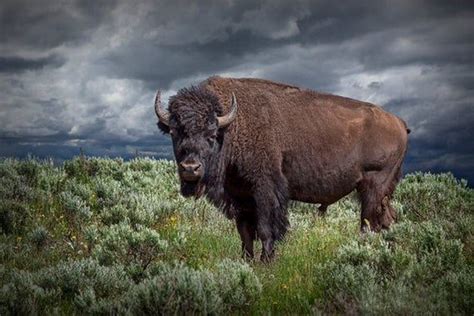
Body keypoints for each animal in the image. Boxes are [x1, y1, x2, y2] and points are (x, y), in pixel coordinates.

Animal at [154, 76, 410, 262]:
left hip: (373, 186)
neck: (234, 126)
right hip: (381, 192)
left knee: (369, 223)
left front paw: (267, 262)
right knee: (387, 219)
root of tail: (398, 122)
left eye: (211, 134)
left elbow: (267, 229)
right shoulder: (240, 196)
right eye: (175, 132)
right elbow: (245, 232)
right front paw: (247, 262)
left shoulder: (265, 190)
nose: (190, 168)